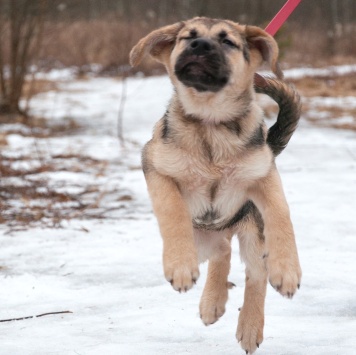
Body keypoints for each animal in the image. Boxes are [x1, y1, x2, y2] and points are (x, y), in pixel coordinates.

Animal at [129, 17, 302, 355]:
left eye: (228, 42)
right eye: (187, 38)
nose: (200, 46)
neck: (210, 123)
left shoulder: (263, 176)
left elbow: (281, 214)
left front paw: (288, 269)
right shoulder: (155, 166)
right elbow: (172, 210)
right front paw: (179, 264)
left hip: (252, 231)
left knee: (255, 272)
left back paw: (249, 326)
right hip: (203, 241)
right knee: (222, 249)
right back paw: (212, 302)